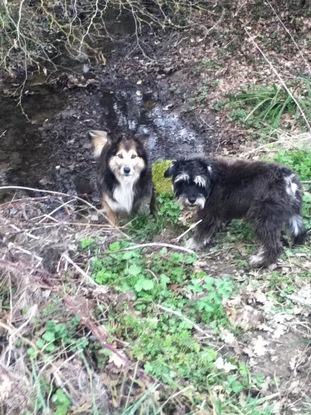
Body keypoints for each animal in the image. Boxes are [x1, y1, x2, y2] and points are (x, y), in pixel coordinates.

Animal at [166, 158, 308, 268]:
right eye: (182, 182)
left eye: (199, 183)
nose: (191, 200)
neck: (212, 181)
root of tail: (287, 179)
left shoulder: (208, 214)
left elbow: (202, 231)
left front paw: (193, 243)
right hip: (292, 213)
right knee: (299, 229)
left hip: (264, 219)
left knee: (274, 246)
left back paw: (260, 261)